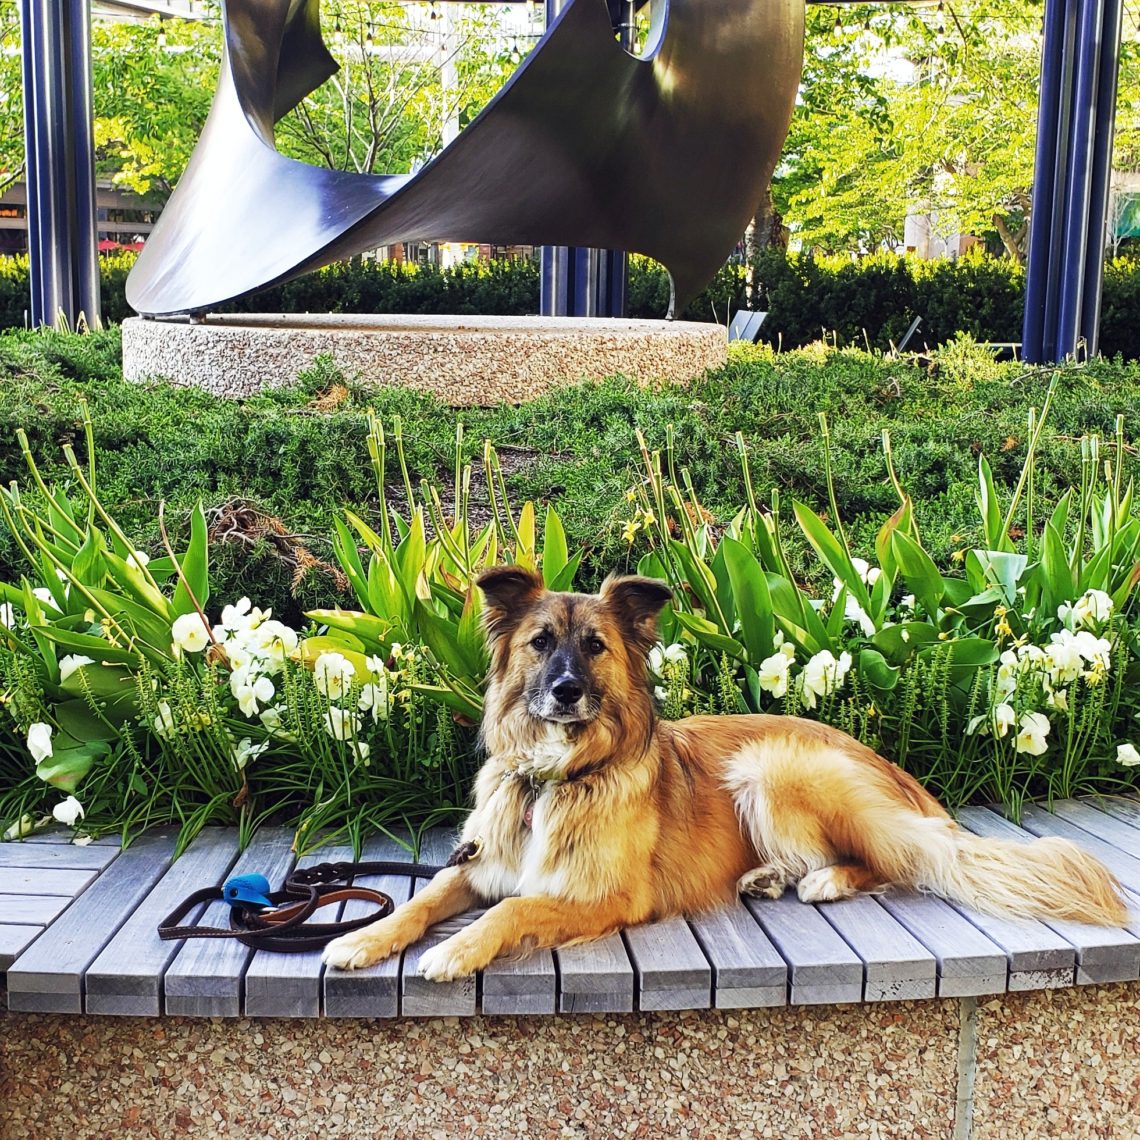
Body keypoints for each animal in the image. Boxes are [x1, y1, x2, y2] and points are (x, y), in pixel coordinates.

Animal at [323, 563, 1130, 980]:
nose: (567, 691)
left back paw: (822, 880)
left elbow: (511, 910)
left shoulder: (603, 896)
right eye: (540, 642)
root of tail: (891, 769)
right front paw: (365, 938)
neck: (557, 774)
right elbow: (426, 898)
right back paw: (768, 875)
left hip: (769, 768)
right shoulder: (480, 863)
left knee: (900, 861)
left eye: (595, 646)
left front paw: (456, 950)